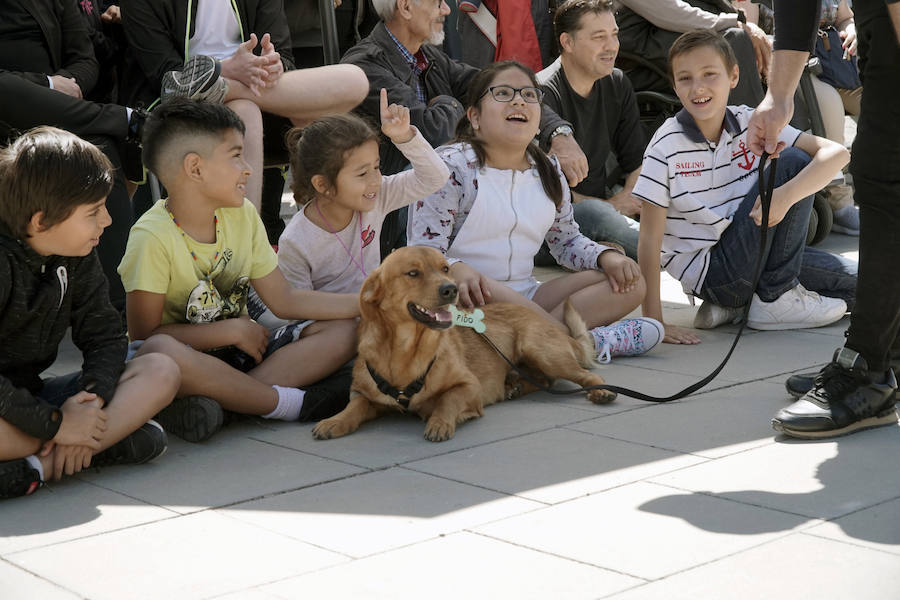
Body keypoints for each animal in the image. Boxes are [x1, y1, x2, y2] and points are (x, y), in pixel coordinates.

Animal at [312, 244, 616, 440]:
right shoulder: (363, 393)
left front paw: (439, 421)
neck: (405, 352)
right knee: (546, 381)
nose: (451, 289)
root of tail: (556, 327)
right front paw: (335, 421)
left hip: (540, 350)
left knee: (586, 376)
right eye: (413, 273)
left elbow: (449, 399)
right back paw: (514, 386)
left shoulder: (469, 386)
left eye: (446, 268)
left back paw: (600, 392)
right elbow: (355, 406)